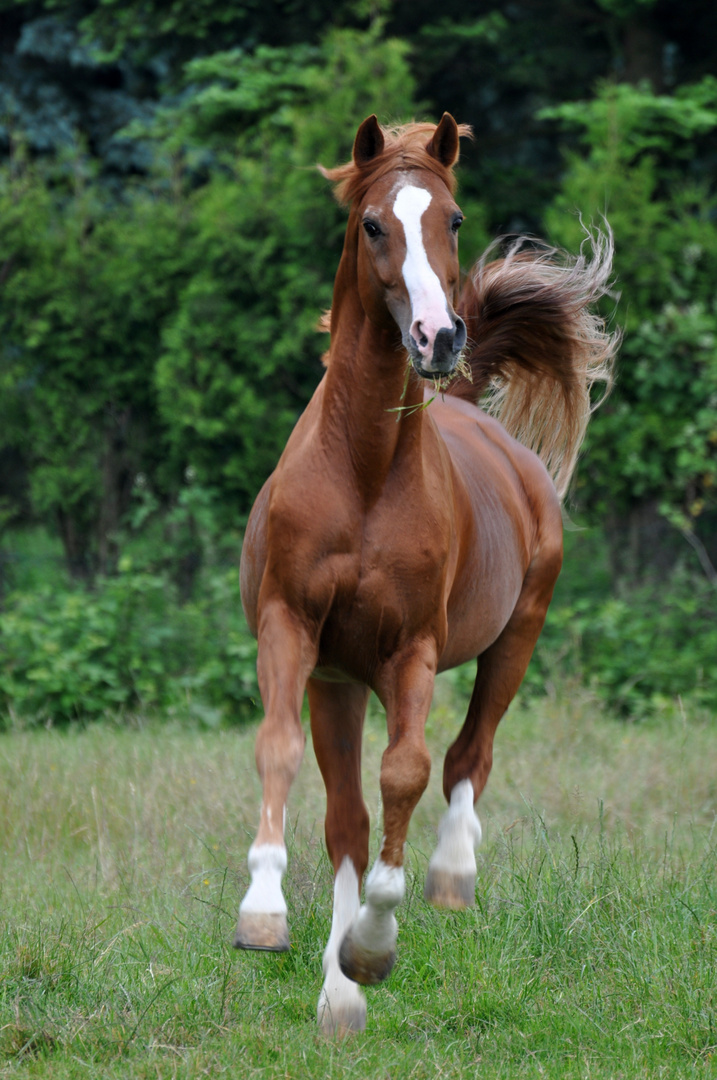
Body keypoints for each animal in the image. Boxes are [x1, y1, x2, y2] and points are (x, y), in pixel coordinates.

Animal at [234, 113, 617, 1032]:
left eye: (452, 218)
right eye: (374, 223)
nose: (439, 338)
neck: (364, 468)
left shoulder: (411, 649)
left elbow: (405, 772)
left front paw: (376, 941)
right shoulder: (293, 632)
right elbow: (282, 752)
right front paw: (266, 918)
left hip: (516, 637)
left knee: (466, 756)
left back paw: (449, 878)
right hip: (337, 682)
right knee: (346, 817)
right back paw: (338, 996)